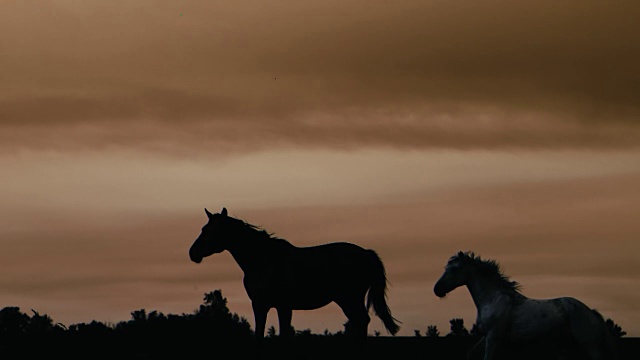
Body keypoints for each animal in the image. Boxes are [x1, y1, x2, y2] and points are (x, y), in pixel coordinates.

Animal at [432, 252, 616, 358]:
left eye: (454, 268)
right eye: (446, 267)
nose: (437, 289)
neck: (492, 299)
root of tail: (591, 312)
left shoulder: (493, 336)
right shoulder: (487, 336)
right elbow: (470, 353)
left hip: (589, 344)